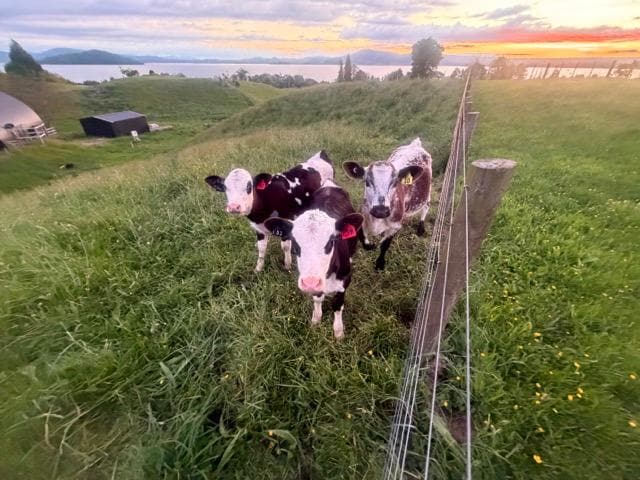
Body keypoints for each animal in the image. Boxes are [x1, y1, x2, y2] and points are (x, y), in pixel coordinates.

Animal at [205, 151, 334, 272]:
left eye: (249, 187)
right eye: (225, 188)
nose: (234, 207)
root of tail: (319, 154)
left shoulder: (285, 221)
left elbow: (285, 246)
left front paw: (287, 266)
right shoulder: (258, 229)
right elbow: (261, 248)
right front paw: (258, 269)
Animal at [264, 180, 363, 339]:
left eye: (331, 242)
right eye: (295, 243)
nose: (310, 282)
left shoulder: (345, 279)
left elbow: (338, 305)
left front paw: (338, 332)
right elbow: (317, 299)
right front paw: (316, 320)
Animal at [342, 137, 432, 271]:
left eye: (395, 183)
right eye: (367, 182)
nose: (380, 210)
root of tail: (415, 145)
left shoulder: (395, 225)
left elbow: (385, 244)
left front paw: (380, 263)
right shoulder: (362, 215)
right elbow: (363, 239)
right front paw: (371, 245)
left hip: (427, 192)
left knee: (426, 206)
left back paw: (421, 228)